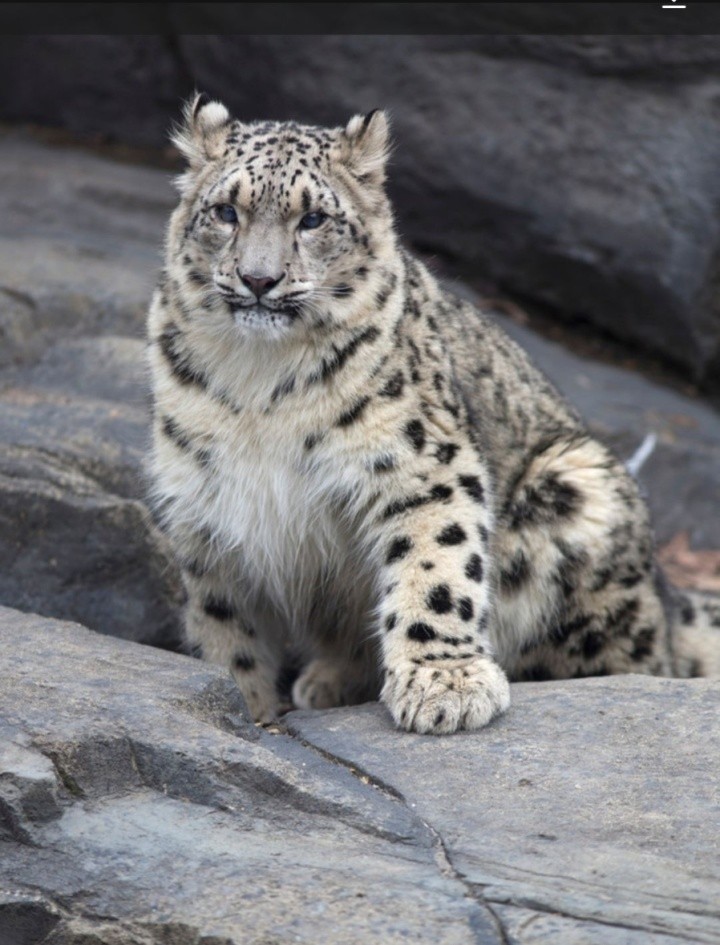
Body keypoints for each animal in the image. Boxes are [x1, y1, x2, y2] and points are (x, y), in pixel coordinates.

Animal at [146, 93, 720, 735]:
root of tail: (663, 593)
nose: (258, 279)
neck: (258, 382)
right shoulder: (205, 508)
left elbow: (436, 565)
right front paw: (243, 706)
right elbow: (226, 628)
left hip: (577, 493)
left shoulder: (417, 463)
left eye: (313, 219)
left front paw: (446, 685)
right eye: (225, 211)